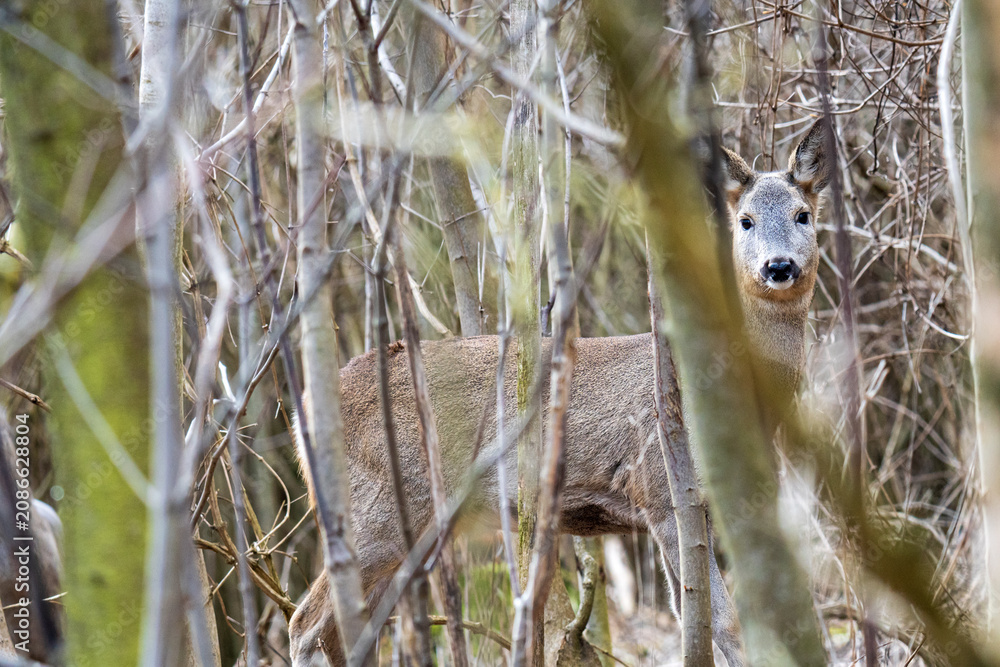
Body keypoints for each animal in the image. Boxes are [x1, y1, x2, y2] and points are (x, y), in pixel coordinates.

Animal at [288, 120, 829, 667]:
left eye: (803, 215)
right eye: (745, 221)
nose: (779, 267)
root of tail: (305, 408)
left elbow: (692, 617)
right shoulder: (661, 490)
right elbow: (722, 621)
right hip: (376, 510)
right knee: (305, 623)